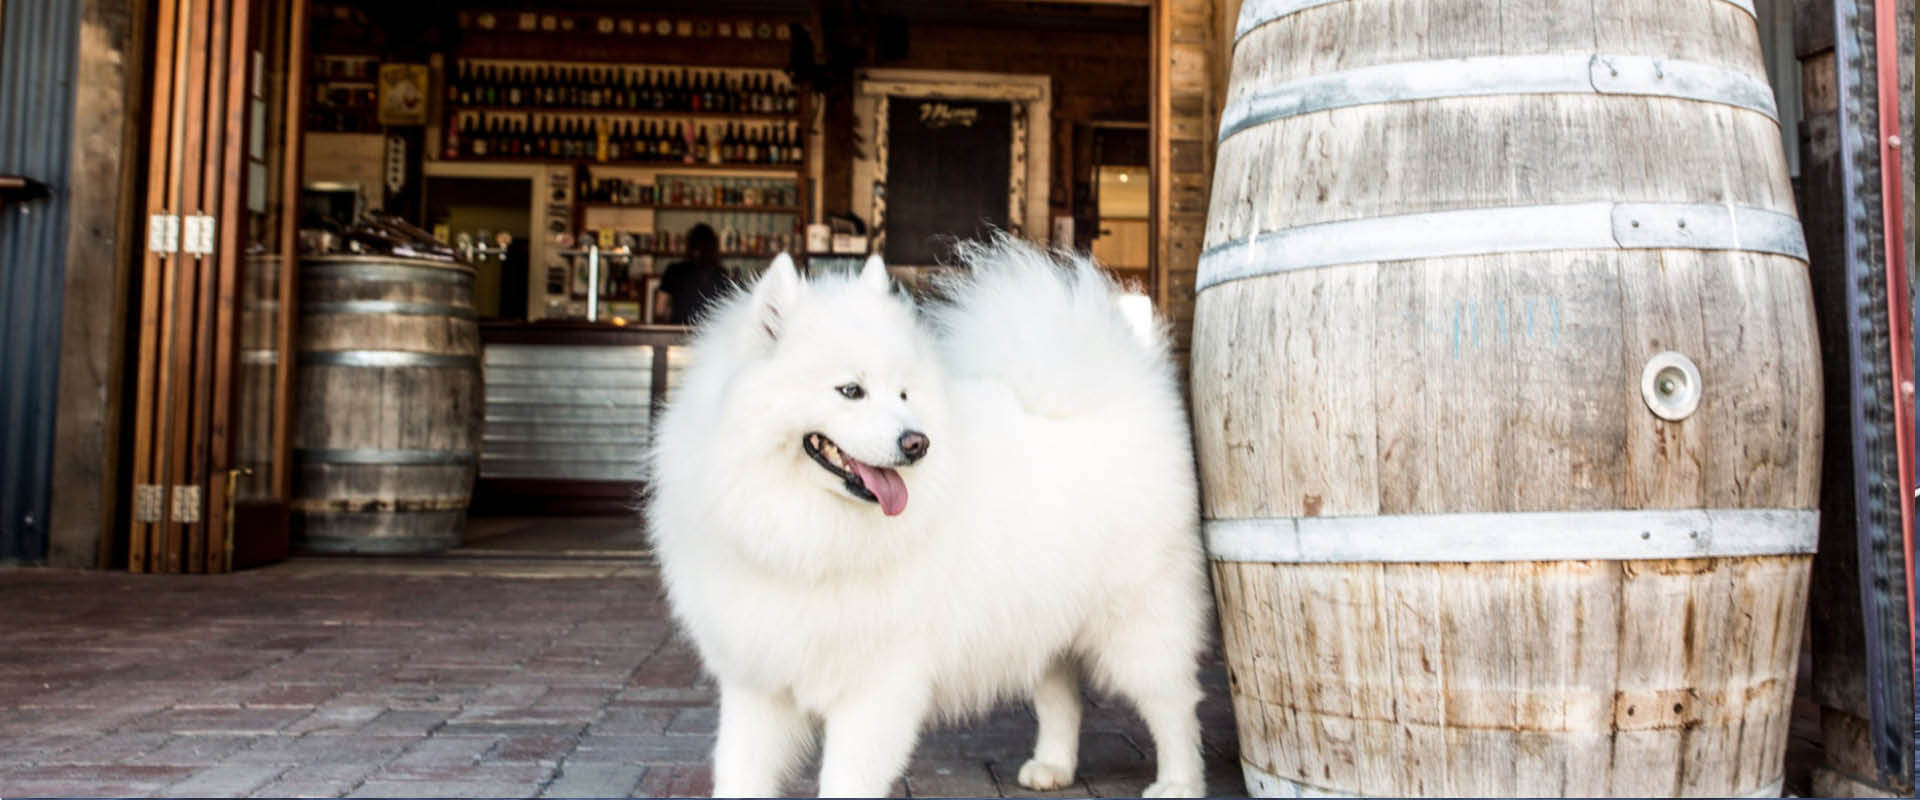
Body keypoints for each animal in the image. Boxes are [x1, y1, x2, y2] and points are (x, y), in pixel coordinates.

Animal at [652, 234, 1205, 794]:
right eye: (850, 390)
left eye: (903, 393)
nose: (917, 442)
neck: (807, 531)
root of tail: (1112, 400)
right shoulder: (756, 681)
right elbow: (739, 772)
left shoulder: (876, 685)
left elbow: (846, 779)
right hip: (1042, 616)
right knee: (1061, 693)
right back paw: (1052, 765)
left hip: (1138, 625)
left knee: (1175, 705)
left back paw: (1179, 782)